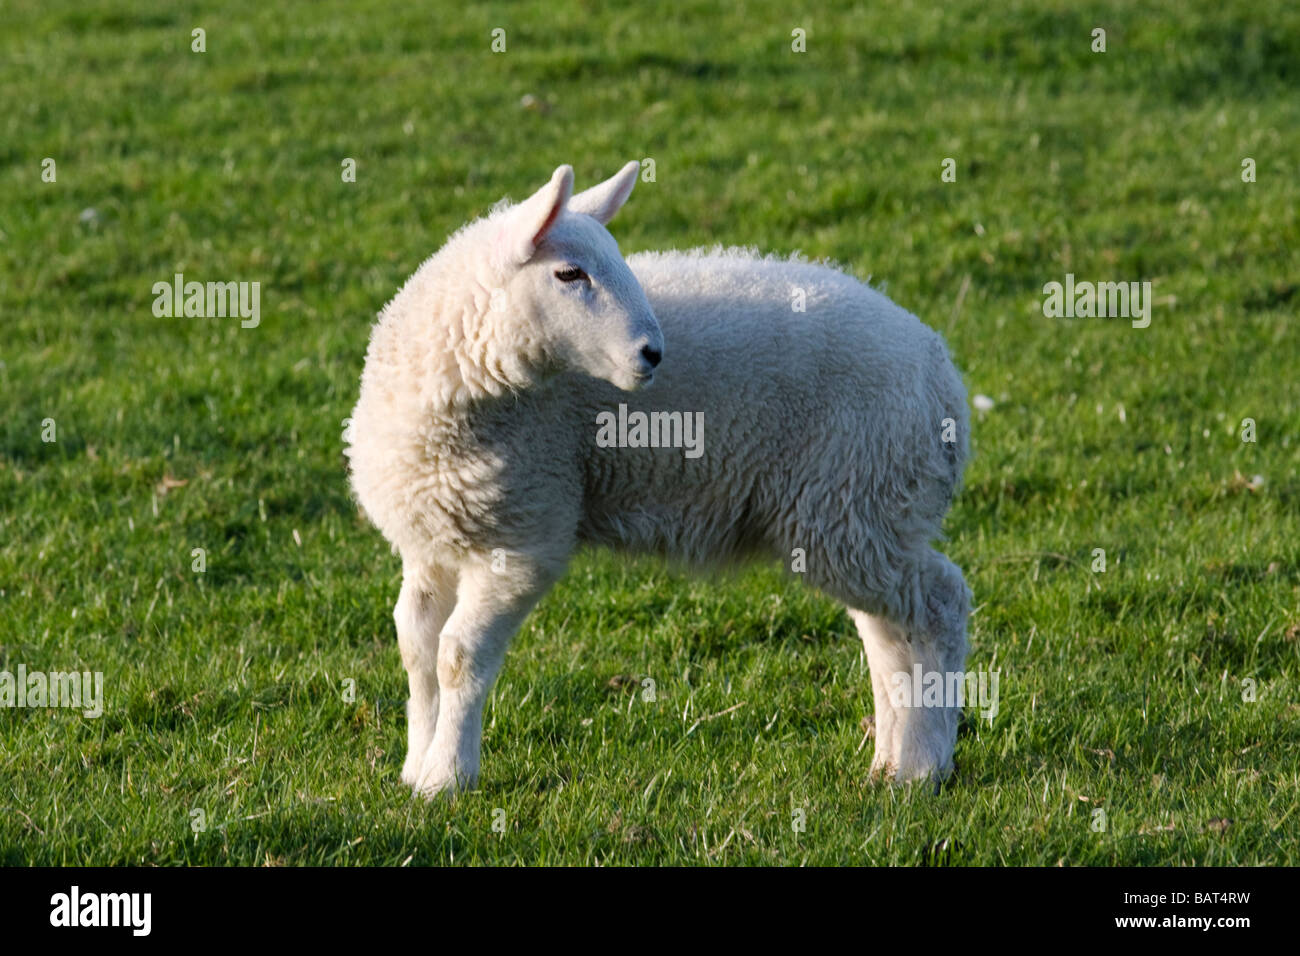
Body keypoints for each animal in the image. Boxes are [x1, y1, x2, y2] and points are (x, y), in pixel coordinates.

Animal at [345, 160, 967, 796]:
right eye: (569, 272)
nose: (653, 354)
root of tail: (942, 376)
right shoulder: (430, 542)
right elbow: (417, 649)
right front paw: (415, 766)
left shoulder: (526, 541)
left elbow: (458, 657)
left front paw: (446, 777)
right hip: (859, 517)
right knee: (887, 632)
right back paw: (890, 763)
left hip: (855, 496)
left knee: (939, 603)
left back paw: (924, 763)